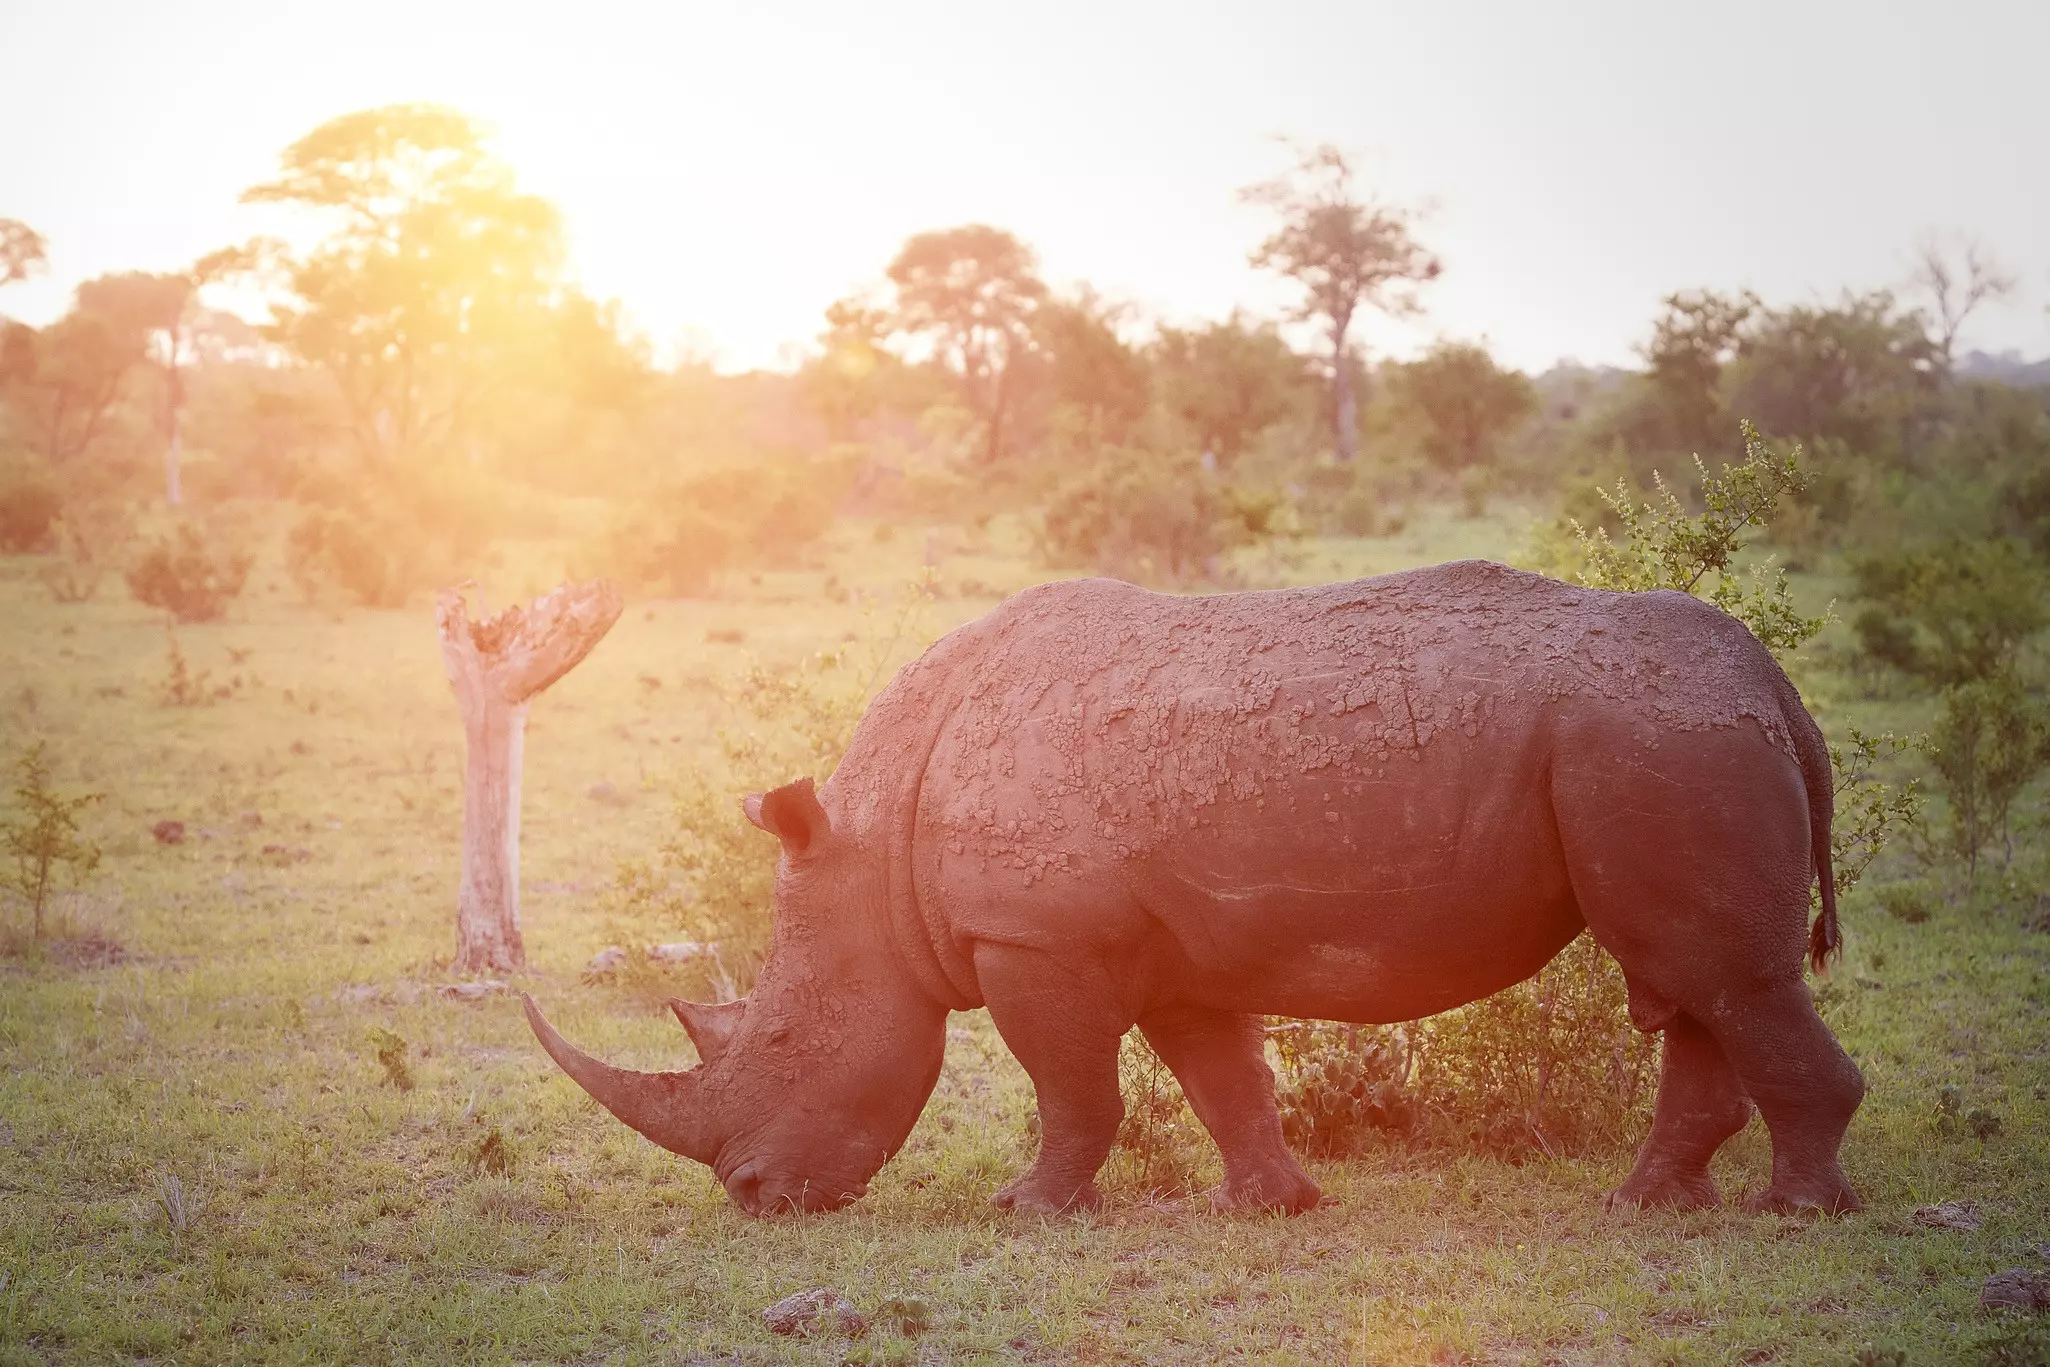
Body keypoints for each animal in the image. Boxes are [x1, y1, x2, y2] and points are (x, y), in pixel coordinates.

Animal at [525, 561, 1865, 1216]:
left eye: (782, 1038)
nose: (754, 1198)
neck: (874, 854)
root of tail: (1778, 686)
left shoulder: (1036, 937)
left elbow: (1072, 1087)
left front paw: (1028, 1210)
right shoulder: (1167, 945)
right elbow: (1223, 1077)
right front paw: (1273, 1206)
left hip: (1662, 744)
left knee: (1722, 976)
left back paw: (1793, 1213)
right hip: (1660, 745)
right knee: (1693, 982)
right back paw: (1647, 1206)